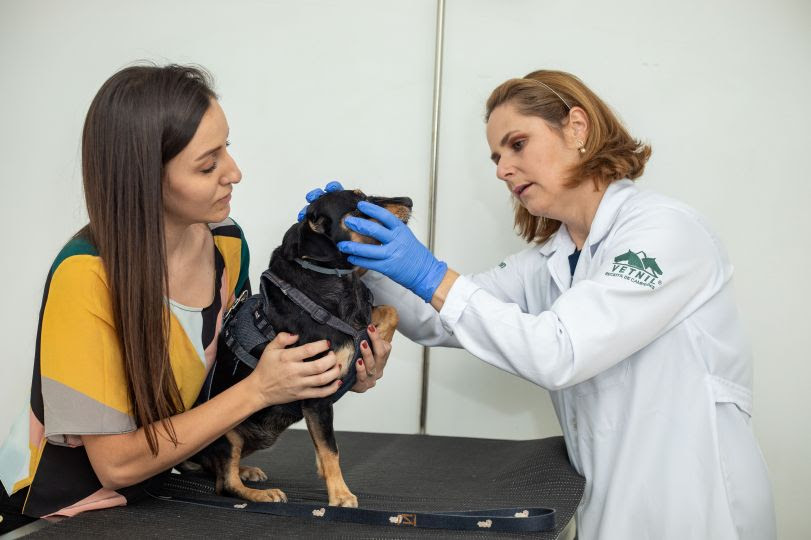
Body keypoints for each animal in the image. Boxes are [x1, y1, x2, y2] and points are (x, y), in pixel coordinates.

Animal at [187, 189, 410, 506]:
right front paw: (340, 495)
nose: (409, 202)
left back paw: (246, 470)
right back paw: (261, 493)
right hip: (228, 434)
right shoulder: (317, 396)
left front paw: (376, 346)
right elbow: (330, 450)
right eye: (358, 205)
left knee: (216, 471)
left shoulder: (361, 320)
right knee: (225, 483)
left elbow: (392, 311)